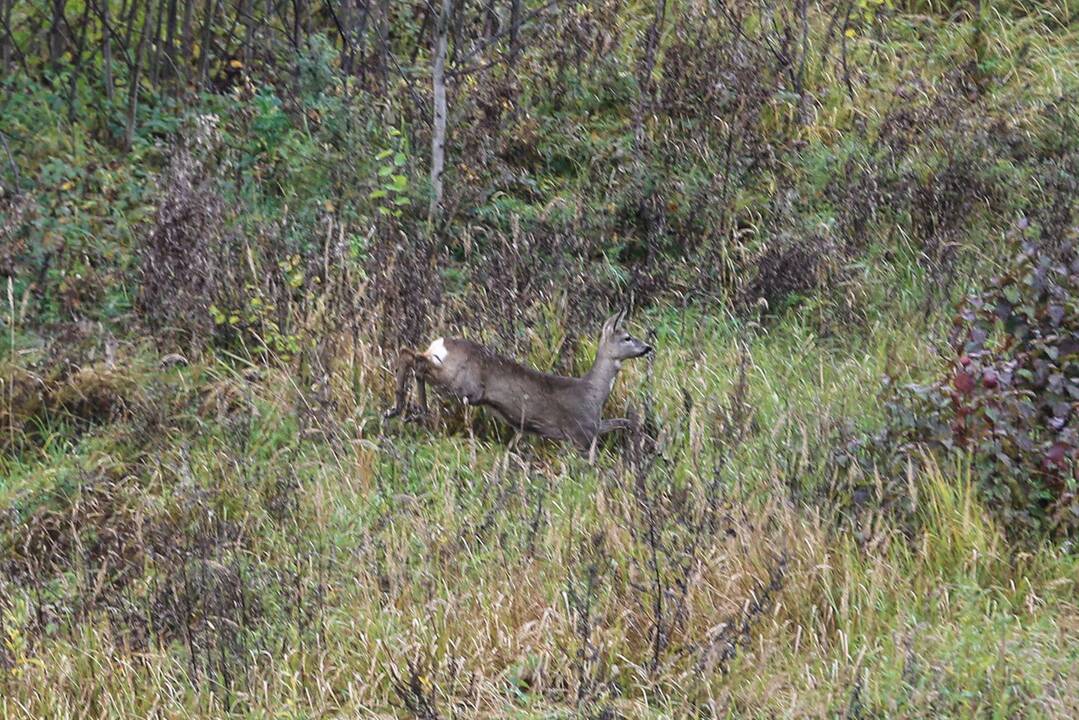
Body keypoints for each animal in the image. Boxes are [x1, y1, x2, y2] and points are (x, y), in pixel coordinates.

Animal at [388, 310, 656, 455]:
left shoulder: (594, 426)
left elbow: (625, 422)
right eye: (627, 337)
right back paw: (404, 408)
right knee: (413, 359)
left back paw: (409, 409)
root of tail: (439, 343)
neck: (593, 393)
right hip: (461, 383)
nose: (648, 347)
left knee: (411, 355)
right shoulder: (581, 433)